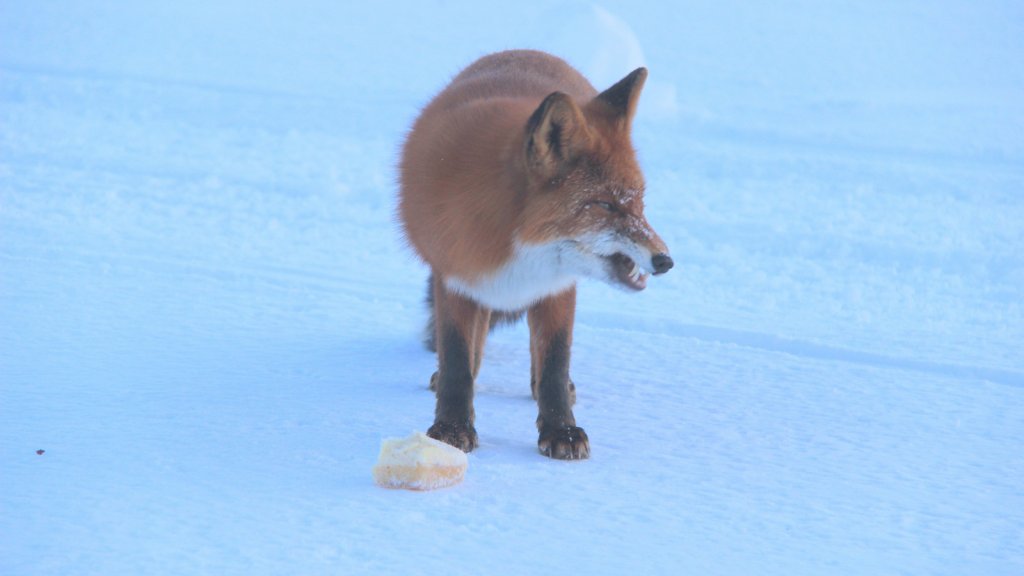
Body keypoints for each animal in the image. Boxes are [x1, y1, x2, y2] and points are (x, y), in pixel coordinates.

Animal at [397, 51, 671, 459]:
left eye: (639, 202)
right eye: (605, 205)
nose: (665, 260)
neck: (512, 245)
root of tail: (524, 52)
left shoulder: (556, 287)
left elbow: (555, 361)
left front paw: (562, 430)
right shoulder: (456, 278)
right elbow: (458, 359)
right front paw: (450, 428)